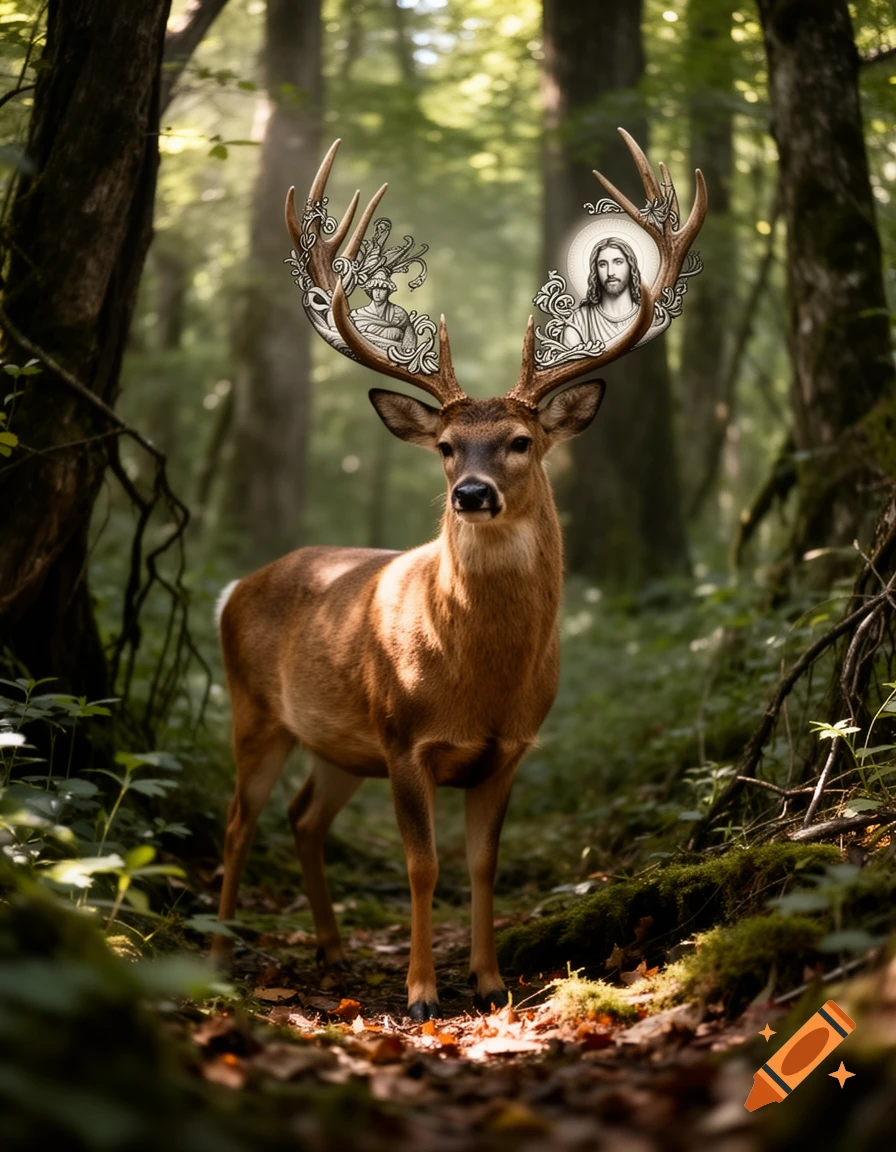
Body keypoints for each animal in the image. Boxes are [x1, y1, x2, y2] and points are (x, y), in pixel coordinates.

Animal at [211, 130, 706, 1020]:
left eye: (521, 441)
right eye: (445, 446)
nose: (470, 494)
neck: (479, 677)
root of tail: (237, 587)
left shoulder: (508, 750)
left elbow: (482, 865)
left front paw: (489, 979)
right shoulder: (405, 738)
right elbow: (424, 865)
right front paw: (419, 992)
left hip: (339, 745)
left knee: (303, 818)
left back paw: (333, 950)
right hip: (255, 710)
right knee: (239, 820)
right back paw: (219, 950)